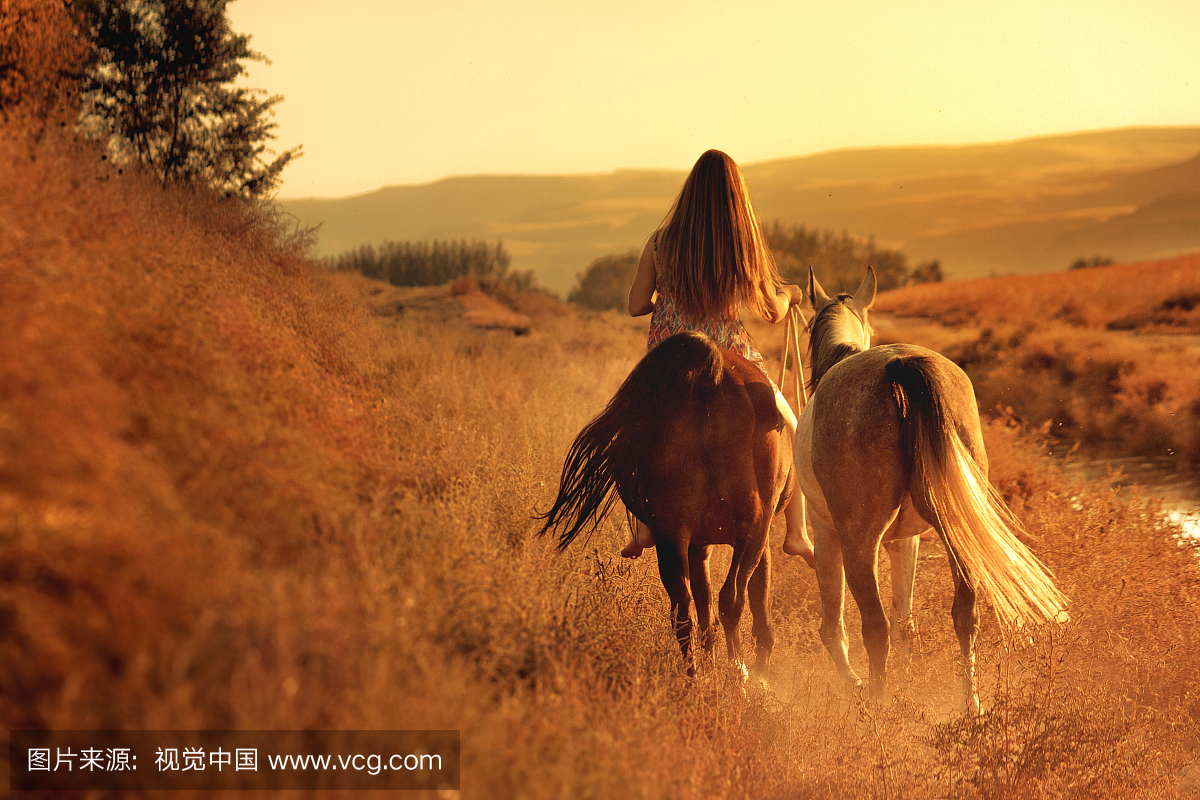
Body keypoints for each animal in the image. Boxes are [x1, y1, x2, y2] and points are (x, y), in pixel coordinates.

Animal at [540, 333, 792, 681]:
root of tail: (710, 374)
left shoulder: (696, 542)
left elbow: (704, 604)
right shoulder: (752, 535)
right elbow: (755, 598)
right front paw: (757, 672)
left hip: (671, 533)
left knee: (684, 610)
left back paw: (696, 678)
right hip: (747, 529)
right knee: (731, 599)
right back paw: (736, 676)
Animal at [796, 268, 1070, 714]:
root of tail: (900, 365)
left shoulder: (827, 534)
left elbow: (835, 626)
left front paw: (855, 683)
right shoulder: (903, 542)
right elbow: (906, 620)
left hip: (859, 541)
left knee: (874, 625)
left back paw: (878, 705)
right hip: (956, 530)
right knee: (964, 614)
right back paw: (970, 705)